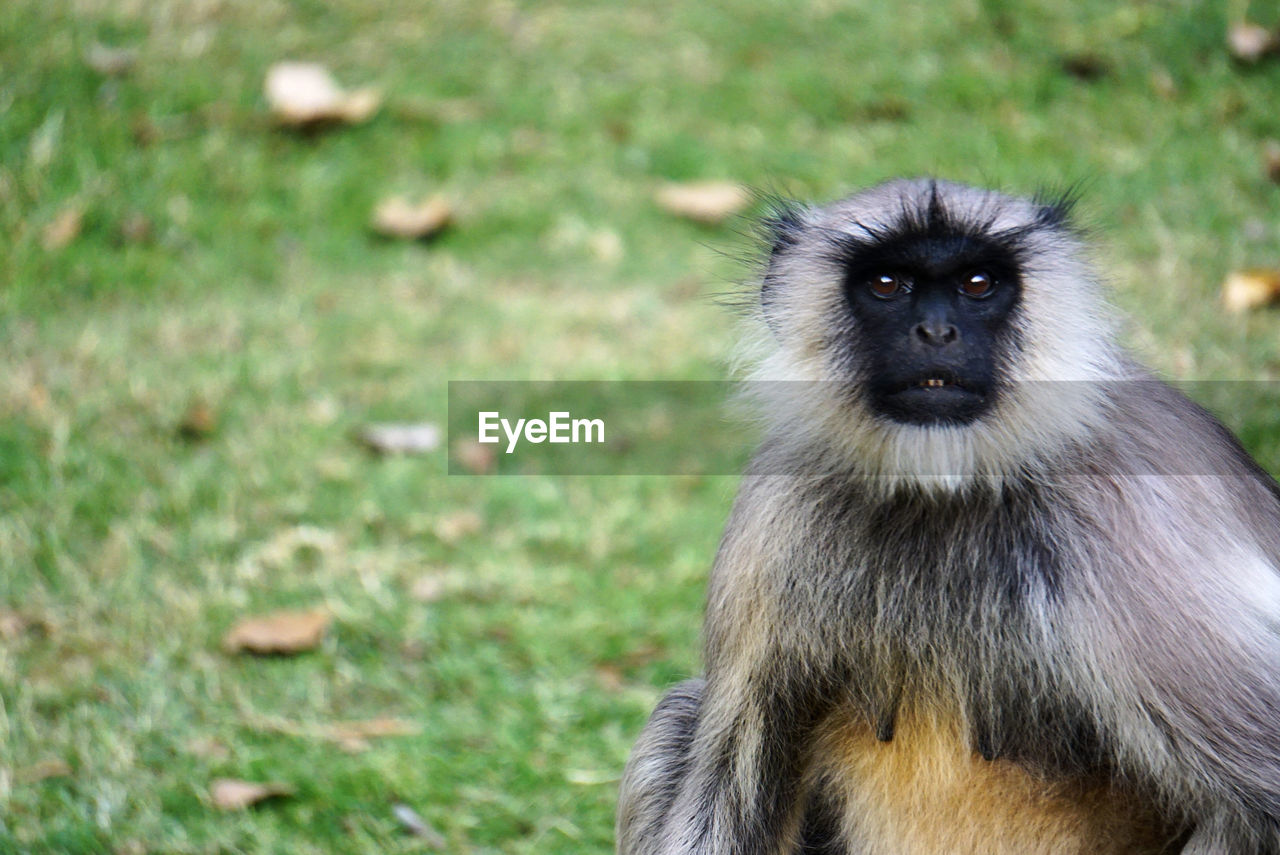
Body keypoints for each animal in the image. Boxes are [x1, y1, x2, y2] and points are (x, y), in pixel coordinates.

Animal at [614, 176, 1280, 849]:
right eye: (887, 284)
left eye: (977, 283)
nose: (936, 332)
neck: (943, 486)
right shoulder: (777, 512)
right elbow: (726, 795)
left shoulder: (1129, 521)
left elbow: (1262, 802)